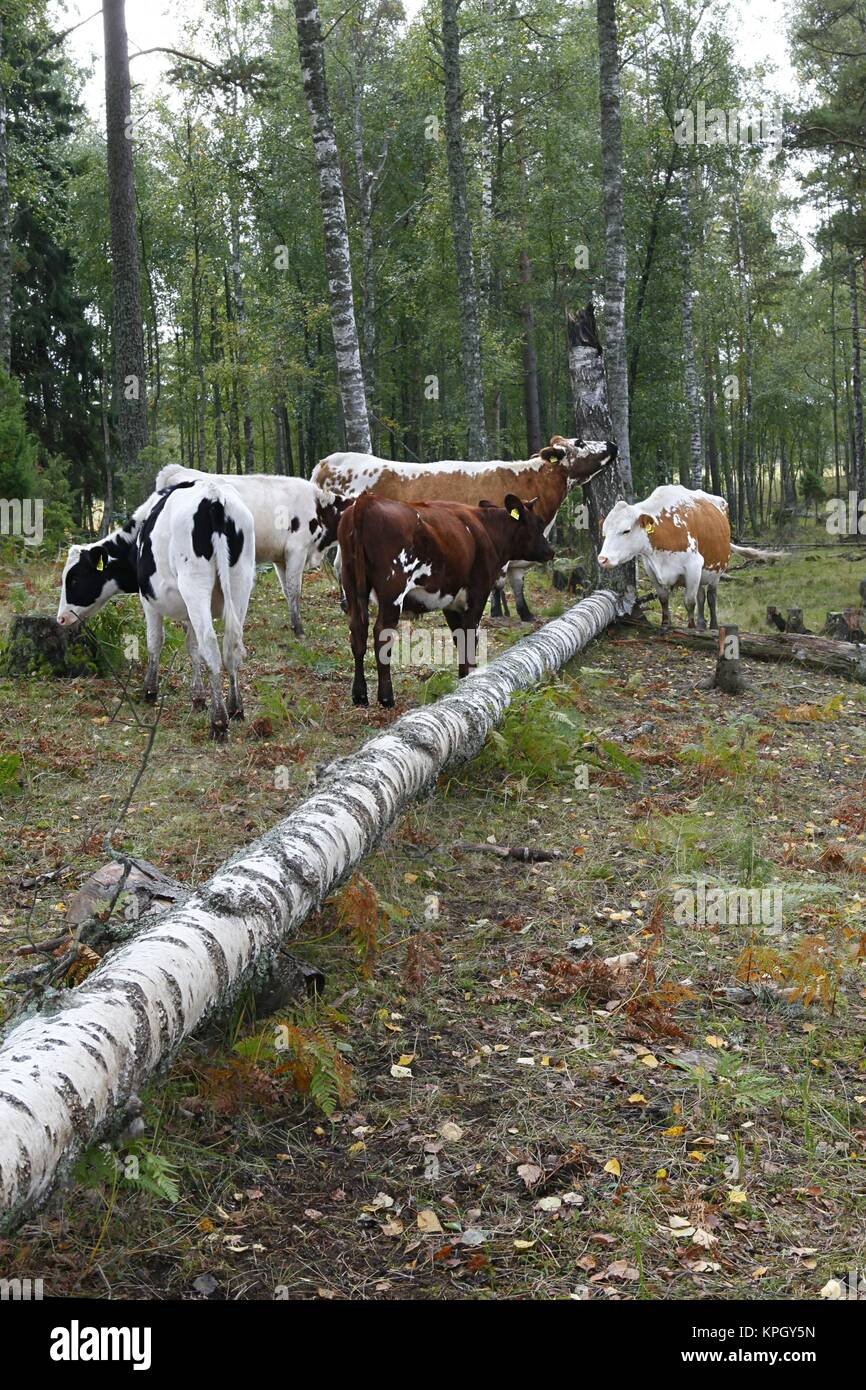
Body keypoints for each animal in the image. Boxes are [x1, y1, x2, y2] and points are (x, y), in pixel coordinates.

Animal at [55, 478, 254, 739]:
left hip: (195, 586)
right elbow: (192, 647)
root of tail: (213, 495)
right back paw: (235, 708)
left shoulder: (148, 599)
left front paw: (150, 691)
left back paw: (219, 721)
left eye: (75, 579)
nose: (60, 619)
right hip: (241, 583)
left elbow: (154, 641)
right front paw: (198, 698)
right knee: (231, 647)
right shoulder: (187, 610)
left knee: (211, 645)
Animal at [311, 433, 617, 619]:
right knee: (340, 565)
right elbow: (499, 581)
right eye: (580, 442)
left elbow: (517, 582)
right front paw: (498, 613)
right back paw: (348, 604)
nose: (612, 445)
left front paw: (524, 613)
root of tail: (328, 461)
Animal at [339, 492, 556, 706]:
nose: (550, 551)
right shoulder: (478, 593)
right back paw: (386, 697)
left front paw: (462, 678)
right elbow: (470, 638)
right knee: (381, 634)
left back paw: (359, 695)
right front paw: (469, 677)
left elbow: (459, 639)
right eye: (538, 523)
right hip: (393, 590)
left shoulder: (450, 601)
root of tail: (367, 500)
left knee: (357, 632)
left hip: (351, 584)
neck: (486, 529)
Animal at [600, 483, 783, 625]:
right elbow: (664, 598)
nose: (602, 559)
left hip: (716, 571)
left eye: (626, 530)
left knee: (711, 597)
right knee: (701, 595)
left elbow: (689, 602)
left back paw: (713, 626)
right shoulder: (651, 569)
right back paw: (702, 624)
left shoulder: (693, 566)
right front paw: (666, 625)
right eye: (604, 532)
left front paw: (691, 628)